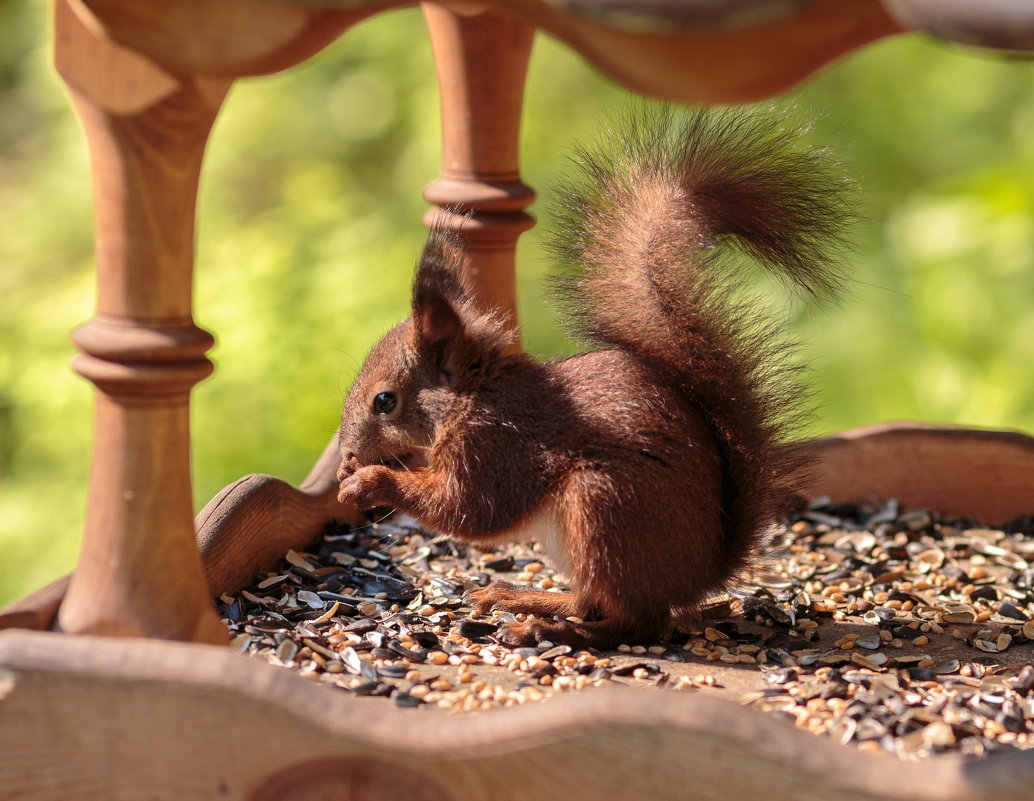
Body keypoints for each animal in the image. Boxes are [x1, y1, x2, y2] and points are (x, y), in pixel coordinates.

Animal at [335, 108, 843, 653]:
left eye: (384, 401)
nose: (347, 452)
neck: (475, 395)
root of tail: (700, 575)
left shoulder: (499, 446)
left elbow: (469, 511)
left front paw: (368, 481)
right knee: (591, 600)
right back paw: (525, 599)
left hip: (603, 507)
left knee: (636, 622)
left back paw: (552, 629)